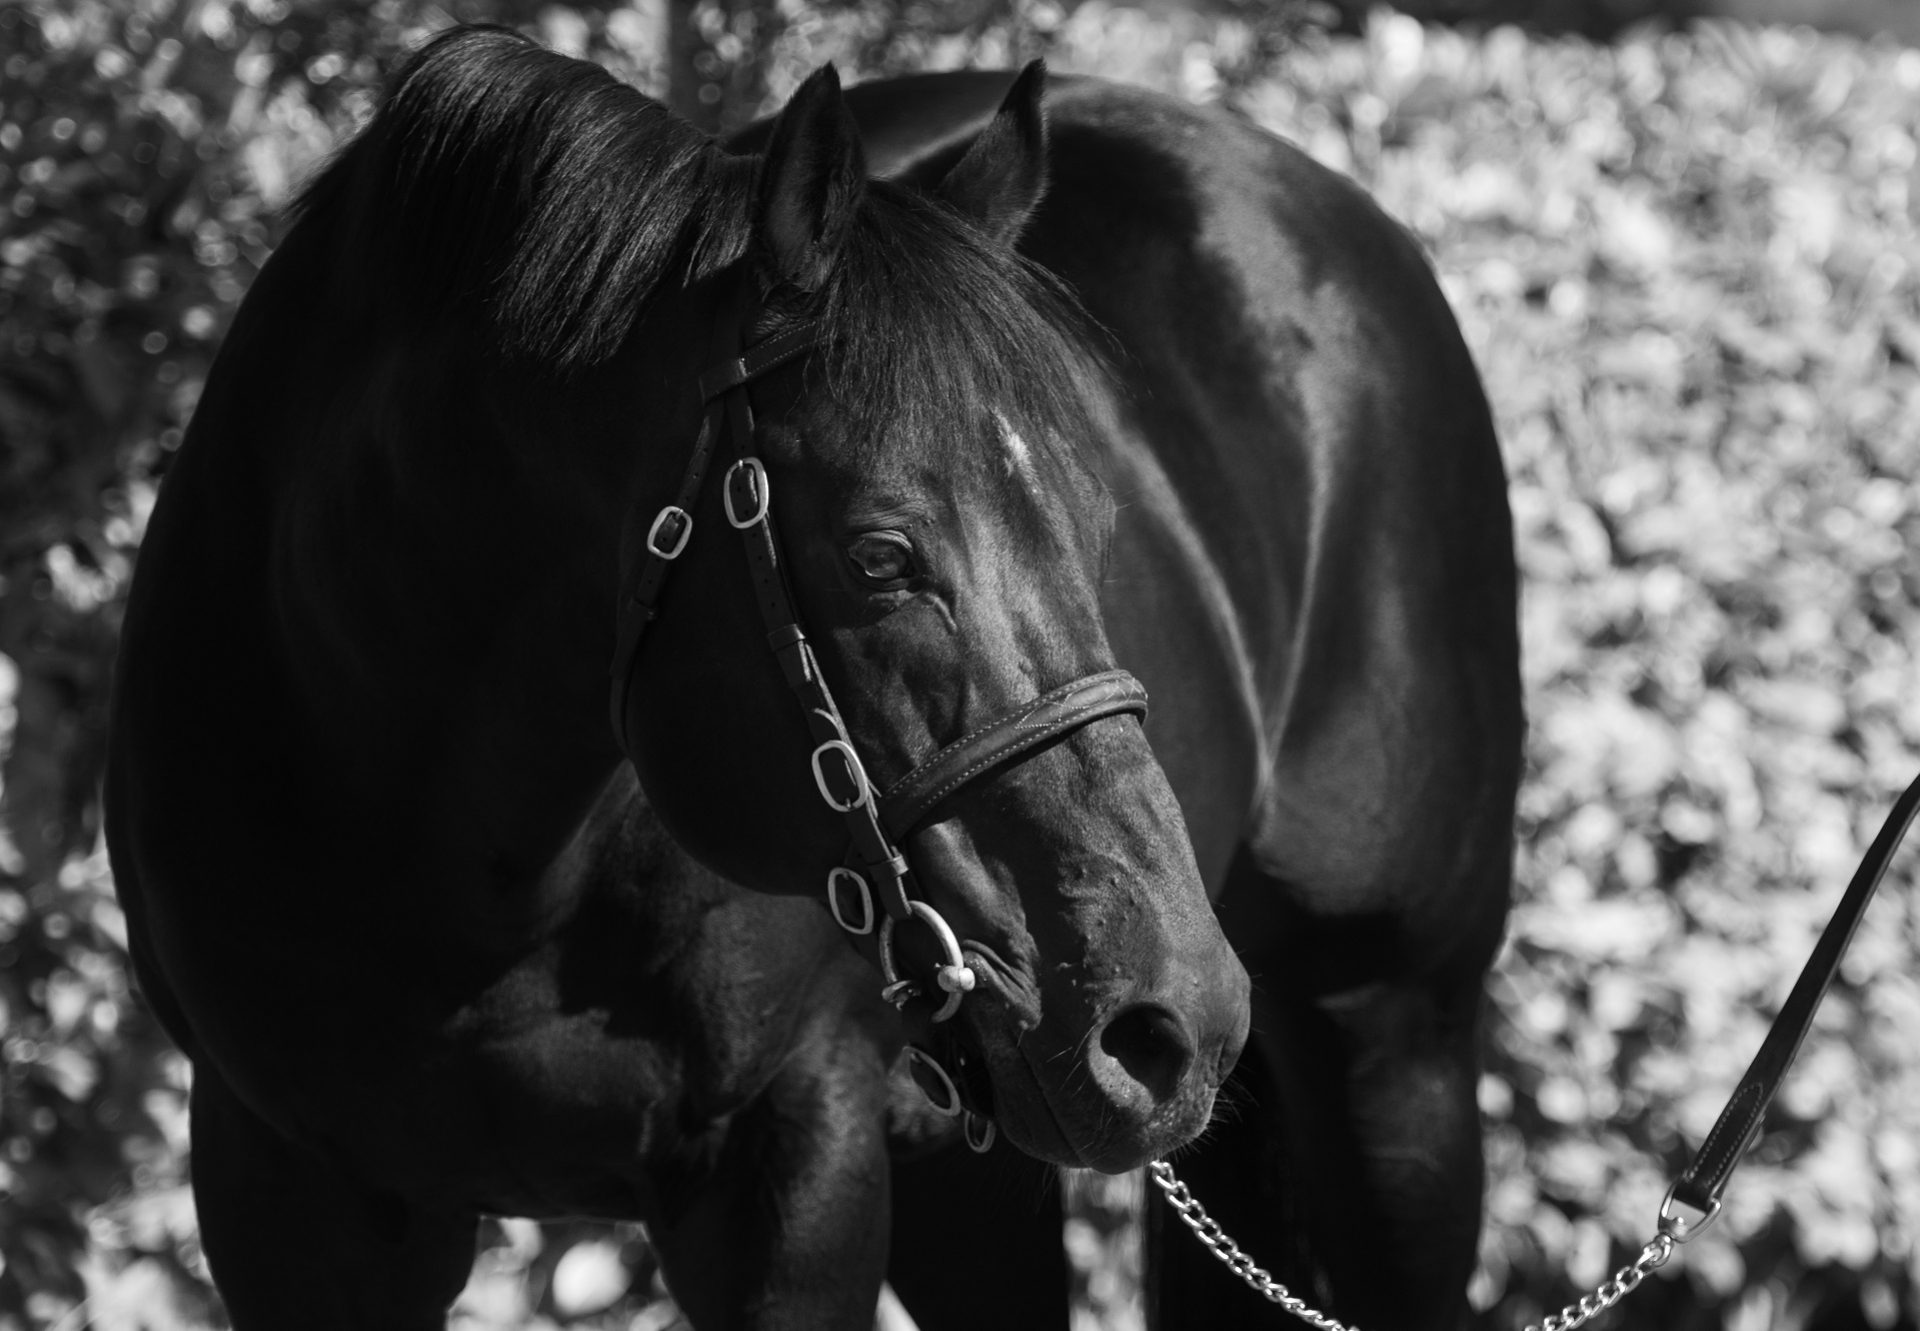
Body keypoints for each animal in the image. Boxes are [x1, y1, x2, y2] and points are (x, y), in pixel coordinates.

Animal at [108, 28, 1512, 1329]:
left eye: (1100, 517)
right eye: (881, 553)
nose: (1172, 1020)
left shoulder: (793, 1170)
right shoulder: (294, 1194)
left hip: (1396, 1050)